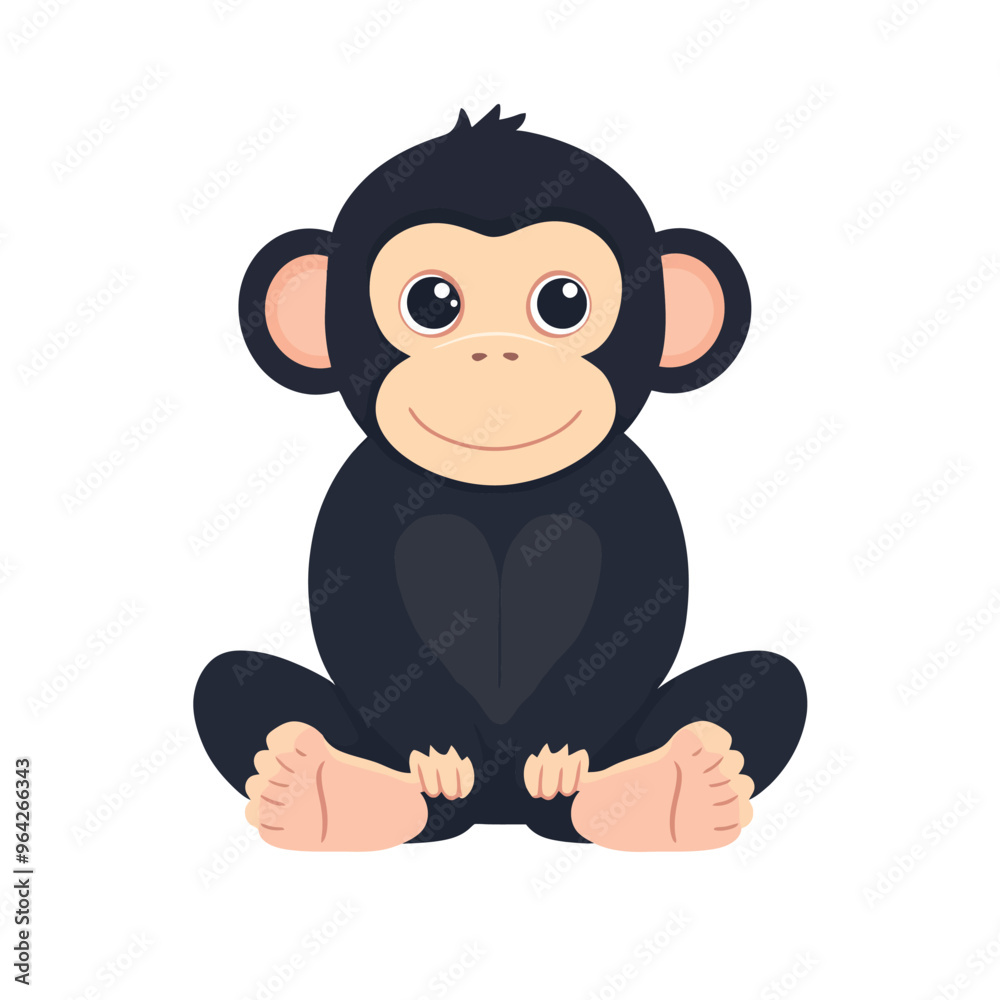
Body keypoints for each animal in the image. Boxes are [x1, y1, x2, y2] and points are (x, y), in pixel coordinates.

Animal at [194, 106, 806, 852]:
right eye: (431, 302)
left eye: (564, 302)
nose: (494, 354)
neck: (498, 495)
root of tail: (499, 811)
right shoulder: (359, 495)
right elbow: (358, 618)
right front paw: (437, 757)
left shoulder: (635, 489)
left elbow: (642, 613)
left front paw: (561, 756)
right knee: (229, 680)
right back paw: (313, 787)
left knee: (767, 680)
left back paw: (684, 786)